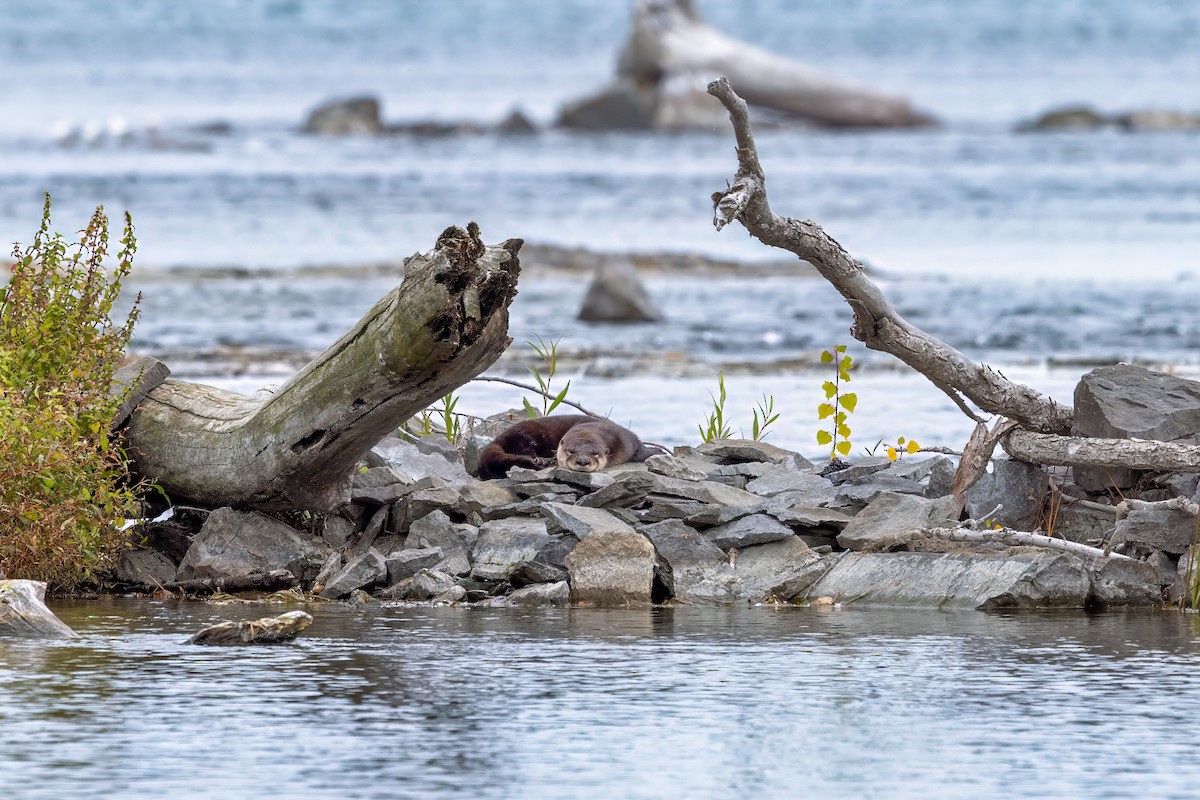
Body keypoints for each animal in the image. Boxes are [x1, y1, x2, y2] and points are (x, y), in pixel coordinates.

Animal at [477, 415, 663, 480]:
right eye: (570, 451)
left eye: (595, 454)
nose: (582, 461)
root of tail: (497, 439)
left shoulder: (628, 439)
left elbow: (642, 450)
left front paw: (657, 451)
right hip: (522, 436)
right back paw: (540, 460)